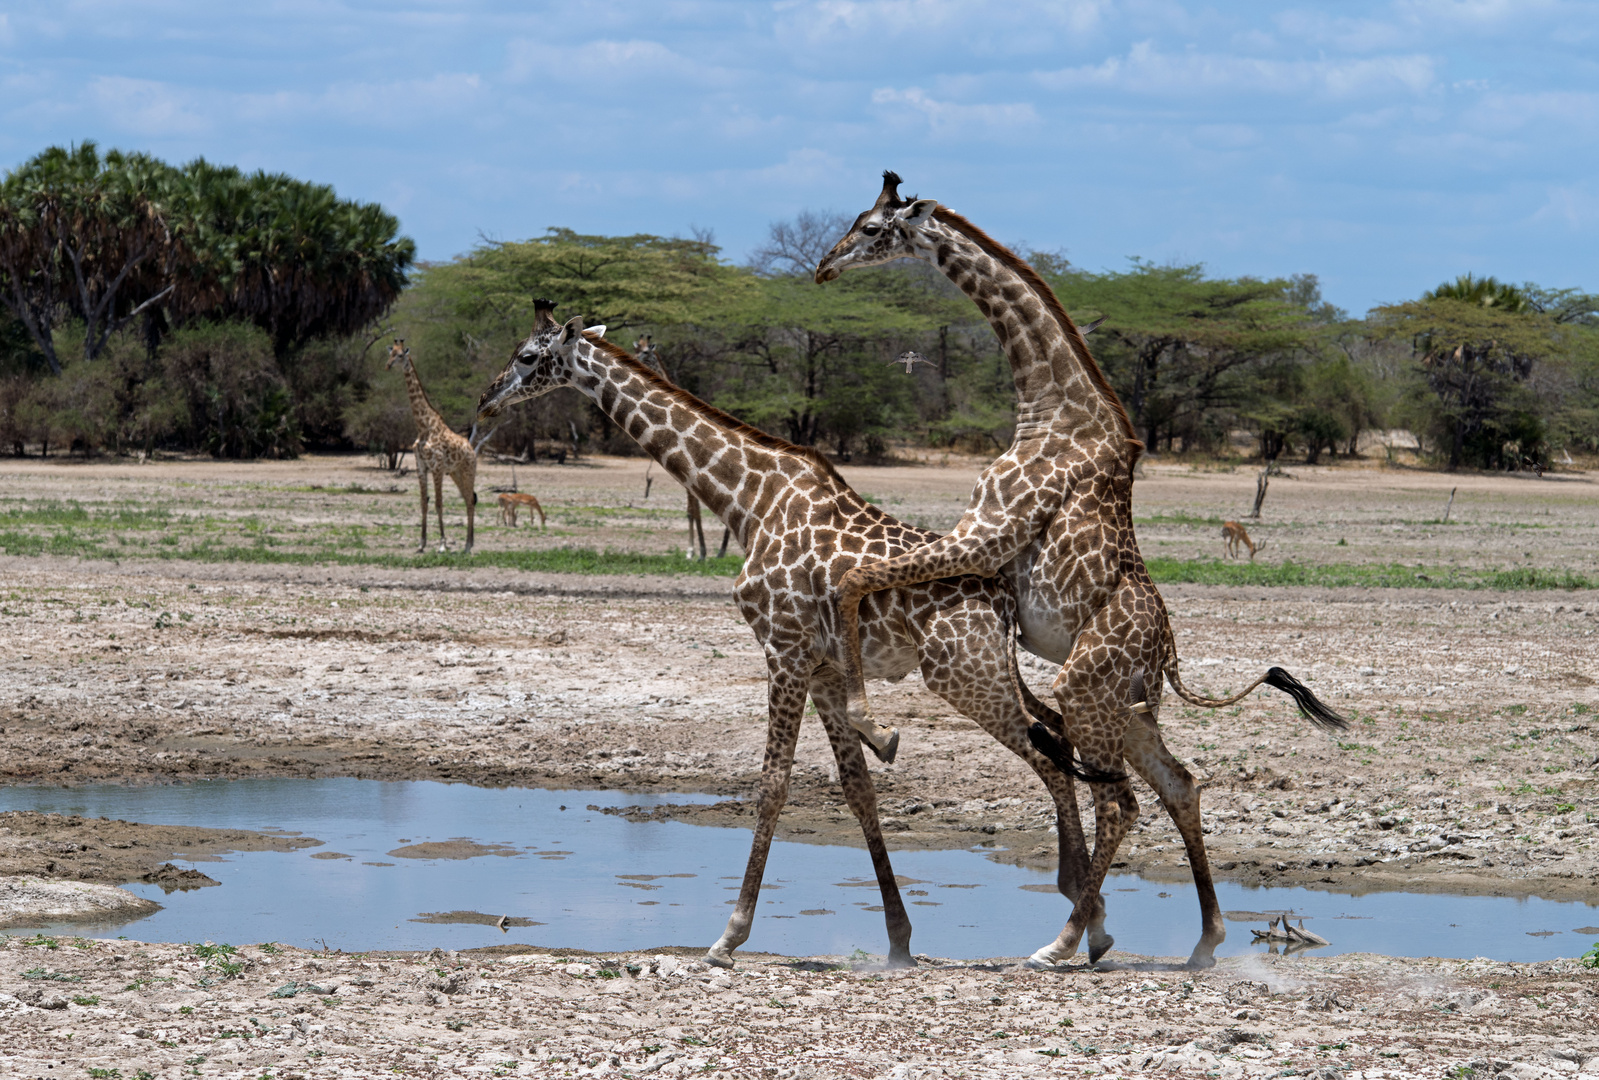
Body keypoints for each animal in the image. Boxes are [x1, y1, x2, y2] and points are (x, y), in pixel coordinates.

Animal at [388, 340, 479, 556]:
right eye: (390, 353)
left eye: (400, 355)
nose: (387, 366)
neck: (423, 426)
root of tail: (471, 449)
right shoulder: (421, 467)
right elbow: (424, 503)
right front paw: (421, 544)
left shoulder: (437, 468)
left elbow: (438, 503)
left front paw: (442, 544)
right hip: (455, 473)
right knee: (468, 499)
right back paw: (468, 544)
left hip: (468, 471)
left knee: (470, 500)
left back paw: (467, 545)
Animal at [636, 336, 713, 556]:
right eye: (636, 347)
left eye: (647, 352)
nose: (634, 358)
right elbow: (691, 510)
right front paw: (694, 550)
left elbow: (693, 508)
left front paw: (698, 550)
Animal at [812, 173, 1349, 966]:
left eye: (874, 228)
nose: (823, 268)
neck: (1046, 406)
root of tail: (1166, 655)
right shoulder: (982, 553)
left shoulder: (983, 538)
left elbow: (852, 580)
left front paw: (871, 725)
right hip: (1125, 704)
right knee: (1178, 783)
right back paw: (1203, 940)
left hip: (1087, 686)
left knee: (1122, 799)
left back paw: (1061, 942)